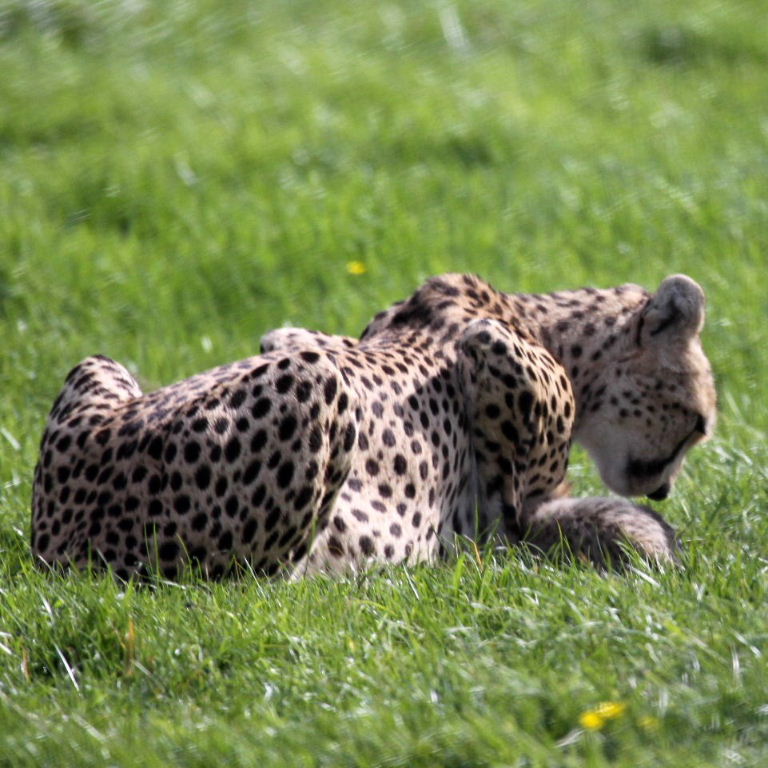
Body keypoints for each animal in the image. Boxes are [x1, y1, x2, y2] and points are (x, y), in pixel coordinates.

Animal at [31, 272, 716, 579]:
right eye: (698, 424)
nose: (663, 490)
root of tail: (64, 550)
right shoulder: (493, 351)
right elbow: (522, 499)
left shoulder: (289, 336)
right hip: (314, 384)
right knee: (253, 581)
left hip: (97, 366)